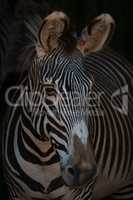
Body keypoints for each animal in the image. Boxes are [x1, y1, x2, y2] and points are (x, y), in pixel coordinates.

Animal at [1, 10, 133, 200]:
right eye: (49, 91)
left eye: (90, 90)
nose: (84, 171)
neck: (42, 157)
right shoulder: (15, 192)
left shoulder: (82, 193)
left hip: (126, 186)